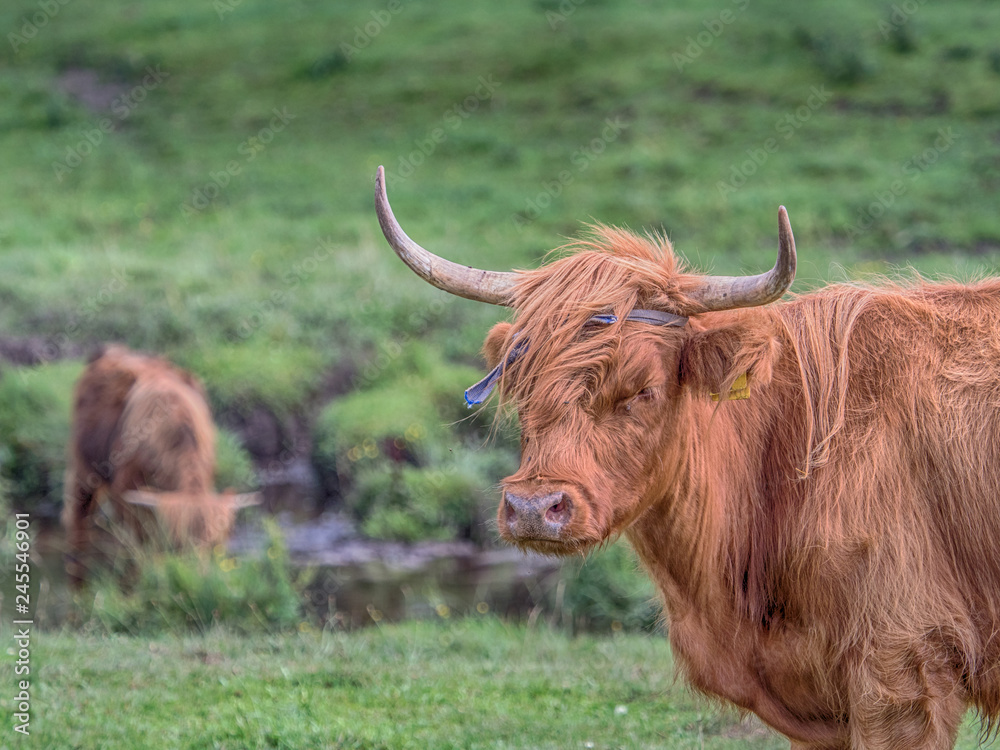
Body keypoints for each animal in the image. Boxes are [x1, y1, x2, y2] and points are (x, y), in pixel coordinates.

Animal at [61, 346, 258, 588]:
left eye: (214, 546)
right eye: (177, 545)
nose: (197, 578)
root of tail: (113, 350)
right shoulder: (125, 495)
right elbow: (139, 542)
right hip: (85, 465)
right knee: (78, 512)